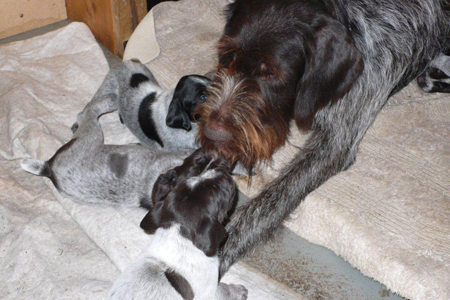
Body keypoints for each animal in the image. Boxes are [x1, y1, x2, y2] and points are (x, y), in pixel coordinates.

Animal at [109, 155, 250, 300]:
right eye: (217, 188)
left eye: (199, 175)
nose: (221, 169)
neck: (177, 234)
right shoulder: (209, 291)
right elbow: (223, 290)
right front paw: (238, 290)